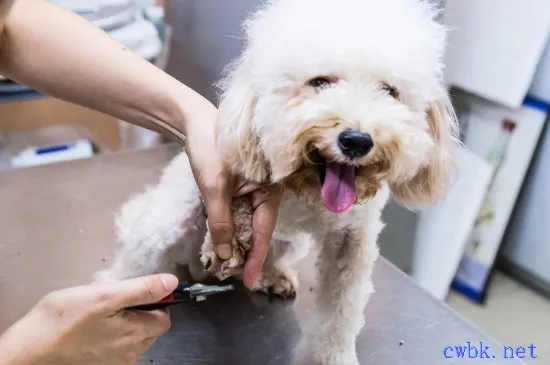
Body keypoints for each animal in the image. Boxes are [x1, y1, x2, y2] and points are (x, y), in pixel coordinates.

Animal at [94, 0, 458, 362]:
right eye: (319, 82)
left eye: (390, 91)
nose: (356, 140)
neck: (307, 189)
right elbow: (236, 204)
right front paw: (230, 242)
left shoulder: (353, 241)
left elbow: (342, 310)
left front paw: (334, 355)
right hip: (163, 227)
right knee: (131, 265)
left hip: (288, 244)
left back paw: (271, 277)